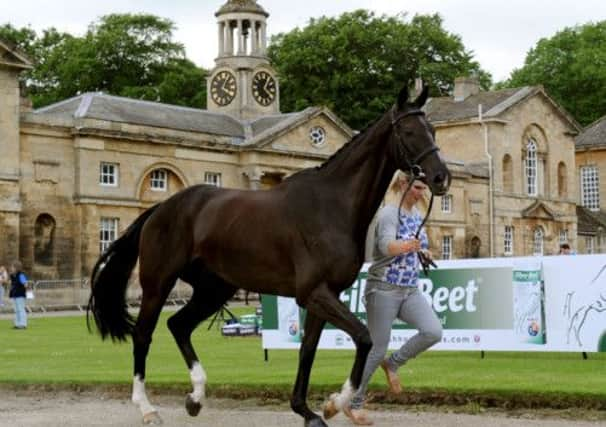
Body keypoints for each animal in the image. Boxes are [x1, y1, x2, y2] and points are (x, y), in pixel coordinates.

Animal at [88, 85, 454, 426]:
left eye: (433, 132)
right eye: (409, 131)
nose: (442, 177)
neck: (332, 204)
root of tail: (161, 208)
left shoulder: (325, 296)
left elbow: (308, 350)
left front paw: (307, 410)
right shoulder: (313, 293)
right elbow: (364, 337)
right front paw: (335, 403)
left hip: (214, 289)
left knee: (178, 325)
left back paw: (196, 397)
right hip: (158, 283)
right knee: (144, 334)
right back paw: (147, 407)